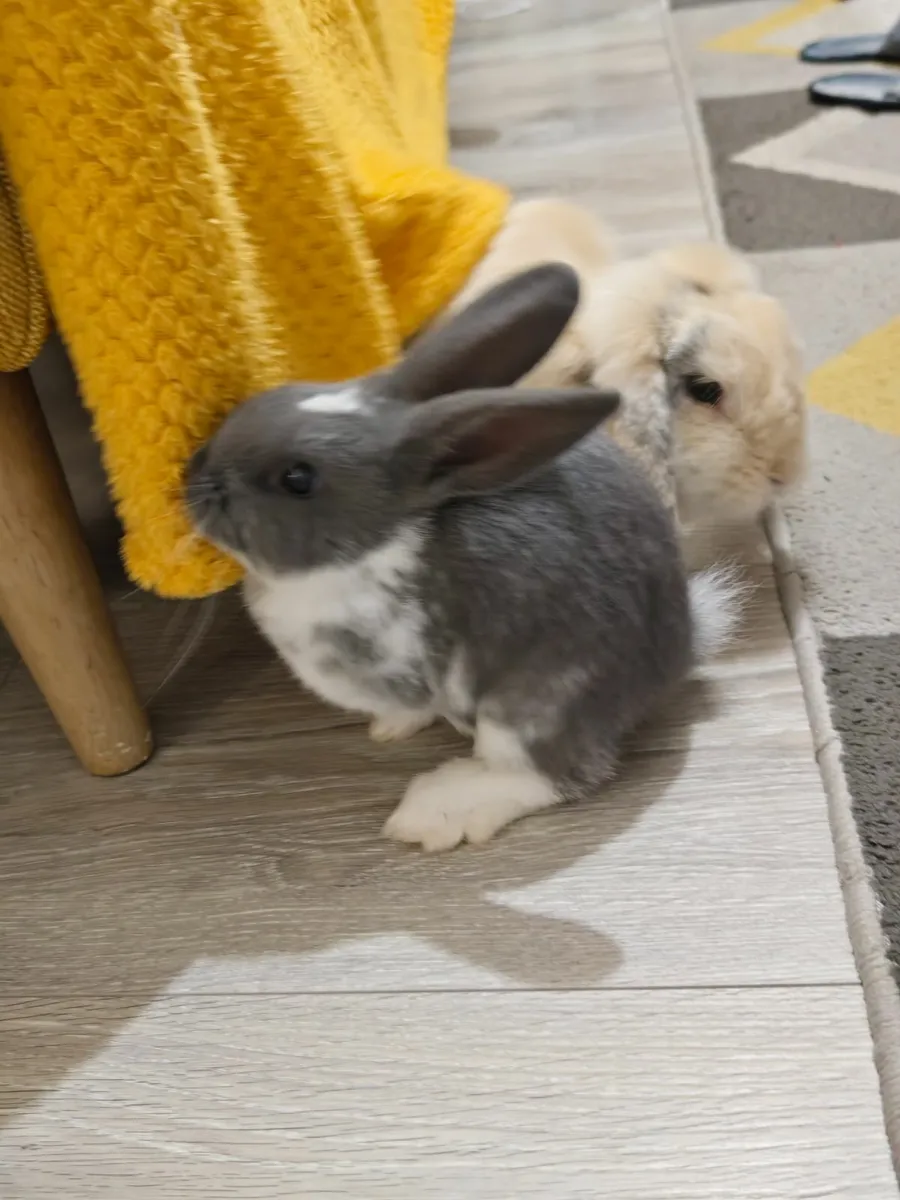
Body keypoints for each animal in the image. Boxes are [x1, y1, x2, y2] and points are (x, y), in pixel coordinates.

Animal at [185, 264, 742, 852]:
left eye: (298, 479)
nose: (194, 476)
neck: (374, 546)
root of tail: (680, 650)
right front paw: (391, 728)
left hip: (529, 705)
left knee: (558, 774)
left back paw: (436, 812)